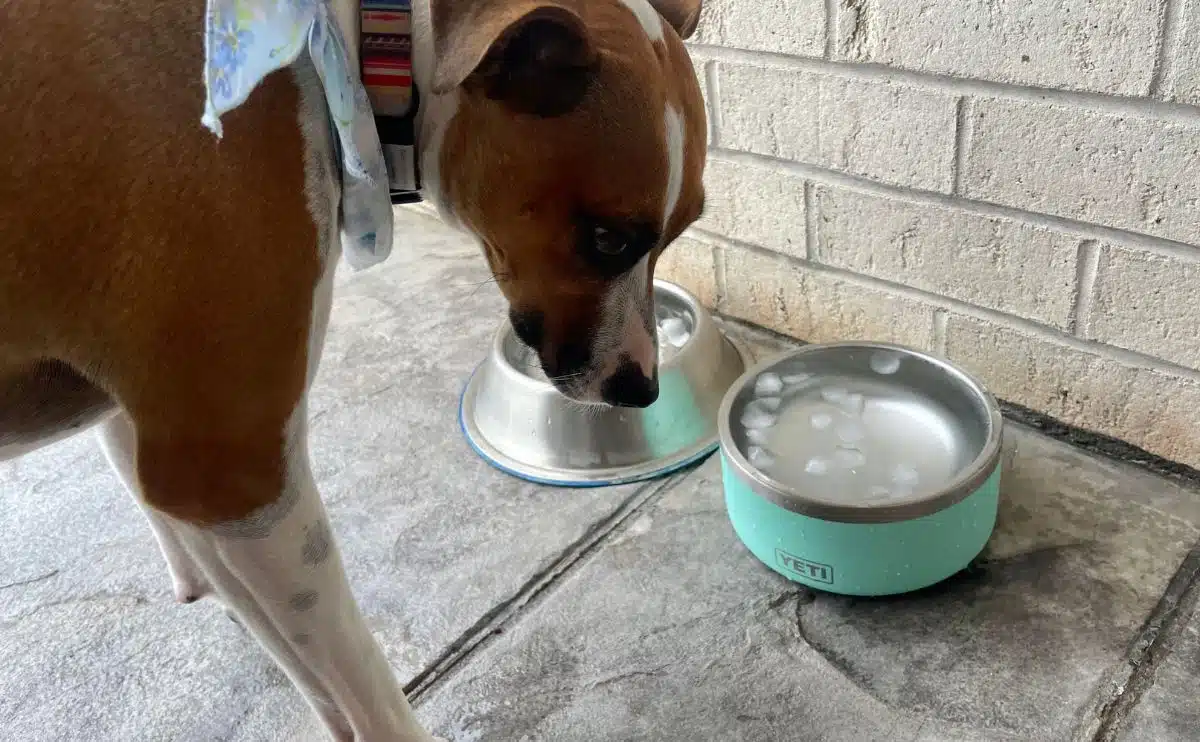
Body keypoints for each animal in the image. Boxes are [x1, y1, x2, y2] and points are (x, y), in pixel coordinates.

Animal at [0, 0, 705, 734]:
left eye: (681, 231)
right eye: (606, 238)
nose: (642, 390)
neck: (346, 41)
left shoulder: (181, 466)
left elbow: (307, 670)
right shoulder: (237, 478)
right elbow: (364, 682)